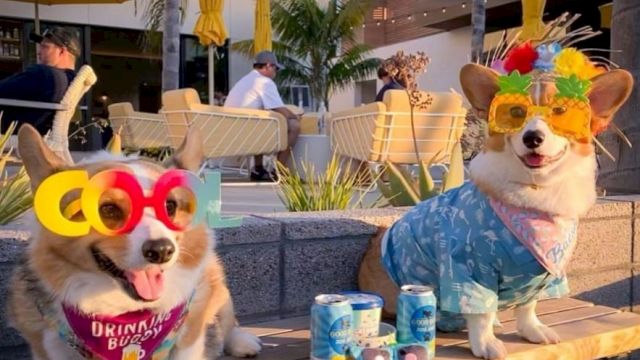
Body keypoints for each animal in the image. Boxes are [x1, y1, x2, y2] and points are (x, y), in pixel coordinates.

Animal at [360, 62, 636, 360]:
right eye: (515, 112)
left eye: (561, 111)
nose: (532, 138)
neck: (535, 192)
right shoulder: (469, 271)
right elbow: (479, 313)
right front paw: (485, 343)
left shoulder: (541, 277)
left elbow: (528, 307)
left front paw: (532, 330)